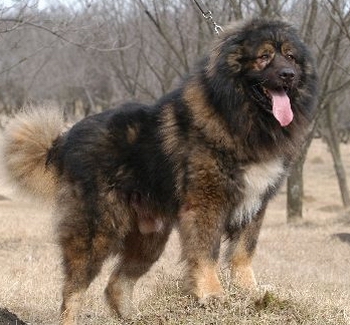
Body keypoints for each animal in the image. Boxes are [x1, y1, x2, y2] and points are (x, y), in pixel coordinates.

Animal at [2, 18, 318, 324]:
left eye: (290, 56)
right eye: (264, 57)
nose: (289, 74)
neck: (240, 119)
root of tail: (64, 140)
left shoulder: (255, 203)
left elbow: (243, 252)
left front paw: (249, 292)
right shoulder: (207, 202)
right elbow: (207, 251)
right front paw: (212, 294)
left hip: (149, 238)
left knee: (116, 284)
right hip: (96, 231)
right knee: (73, 290)